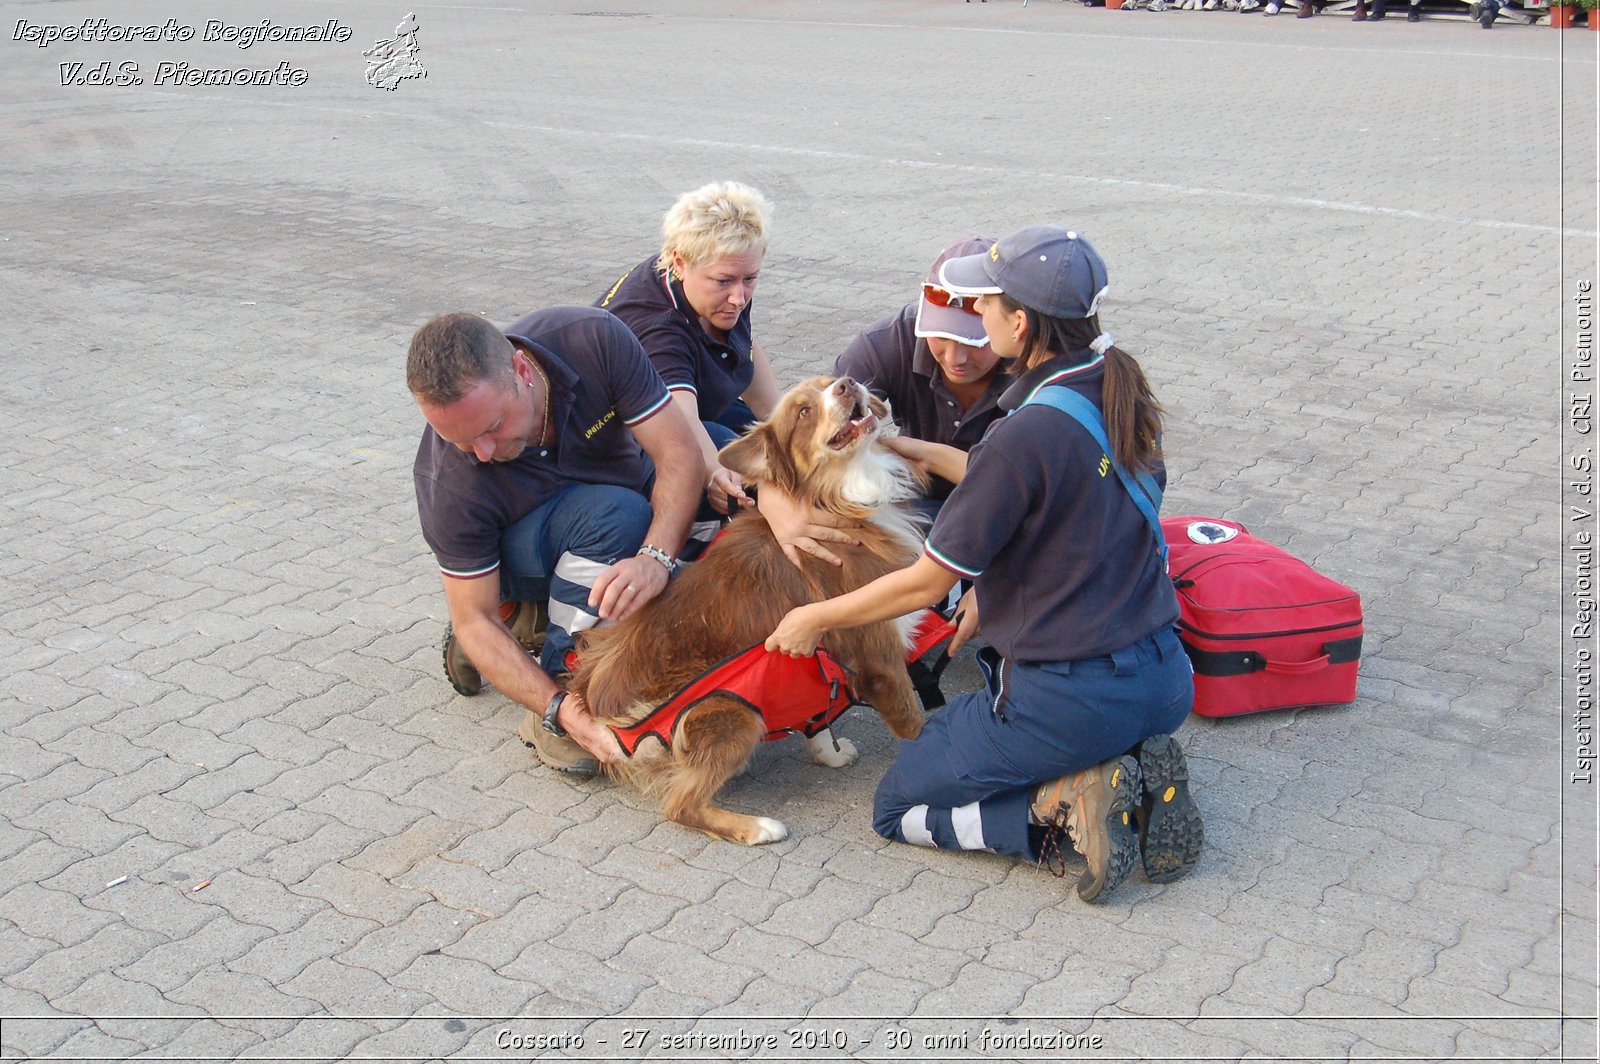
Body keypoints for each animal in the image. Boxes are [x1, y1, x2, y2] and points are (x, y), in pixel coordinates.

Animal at [572, 377, 928, 844]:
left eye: (829, 381)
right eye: (803, 412)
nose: (847, 384)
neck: (834, 499)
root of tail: (596, 700)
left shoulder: (813, 653)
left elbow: (817, 713)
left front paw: (828, 753)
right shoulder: (879, 654)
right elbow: (917, 725)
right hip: (729, 708)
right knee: (679, 805)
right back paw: (758, 827)